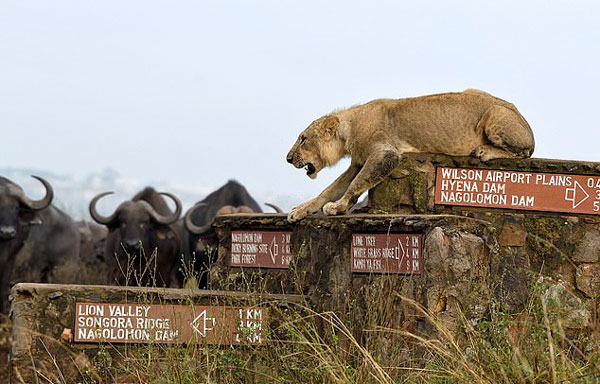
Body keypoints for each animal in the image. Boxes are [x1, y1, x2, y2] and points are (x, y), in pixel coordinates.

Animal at [286, 89, 536, 222]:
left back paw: (484, 150)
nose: (287, 159)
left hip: (495, 114)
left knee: (523, 153)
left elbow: (356, 184)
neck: (348, 129)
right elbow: (330, 189)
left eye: (303, 139)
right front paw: (300, 210)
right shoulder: (357, 162)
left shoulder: (384, 153)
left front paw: (337, 207)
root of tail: (524, 120)